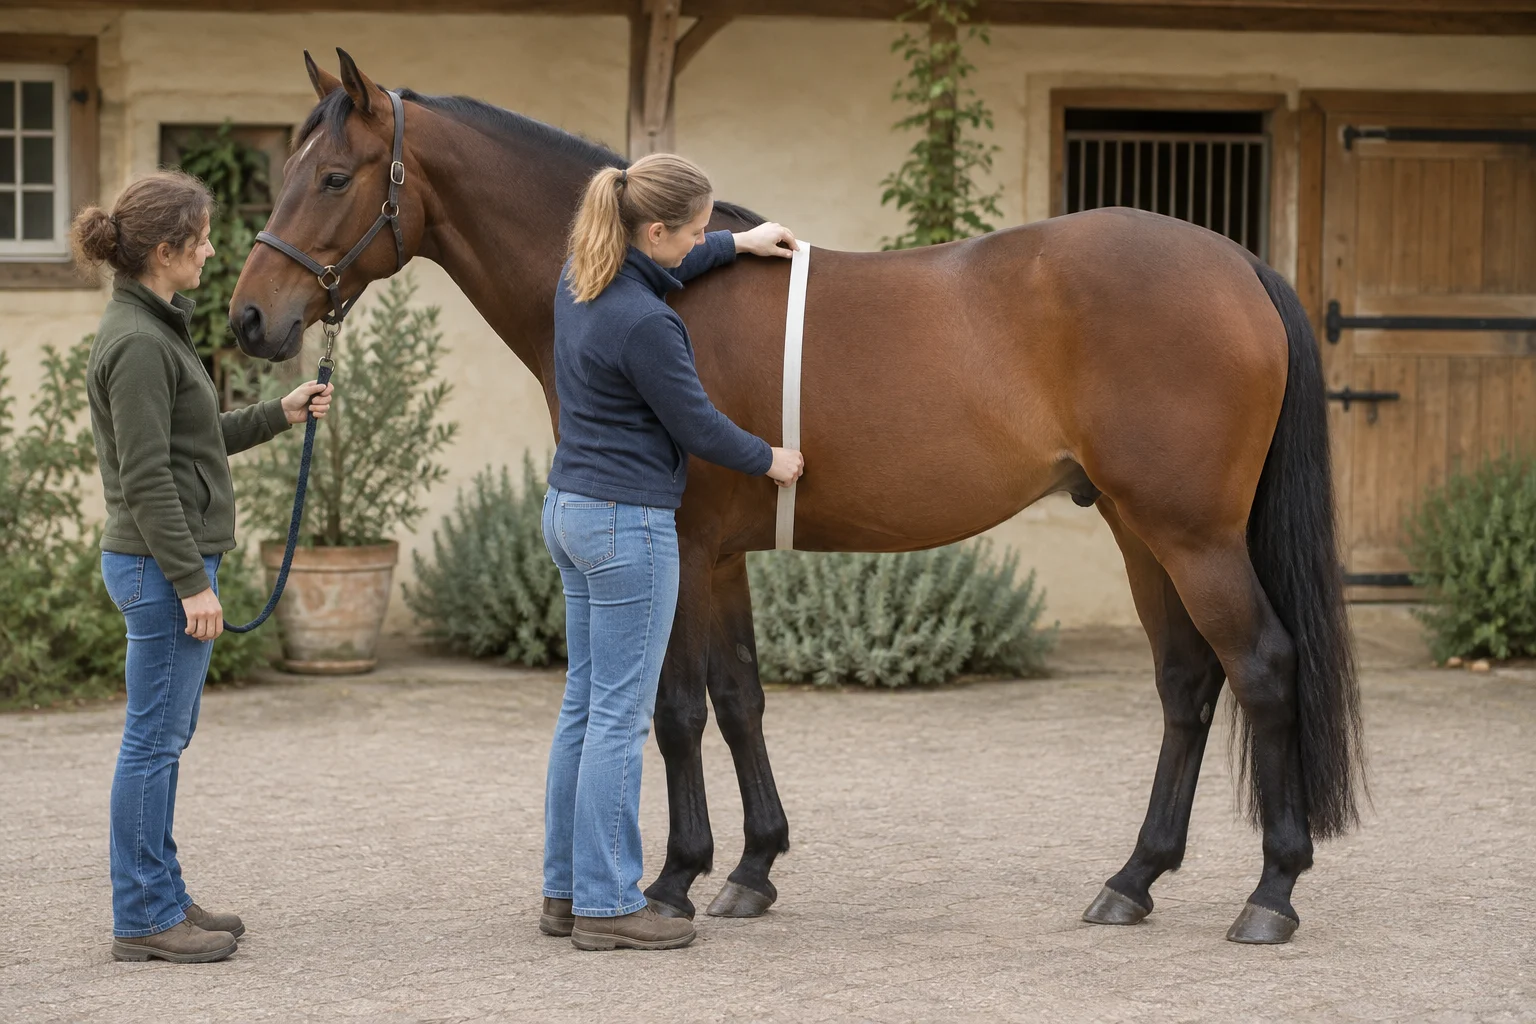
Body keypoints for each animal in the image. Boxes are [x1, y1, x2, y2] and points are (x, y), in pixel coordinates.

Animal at [229, 49, 1364, 945]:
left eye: (333, 175)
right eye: (283, 172)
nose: (248, 319)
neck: (655, 288)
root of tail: (1239, 265)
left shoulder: (681, 548)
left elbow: (677, 711)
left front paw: (675, 878)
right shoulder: (722, 557)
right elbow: (739, 699)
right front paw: (752, 868)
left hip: (1193, 534)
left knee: (1262, 669)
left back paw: (1271, 893)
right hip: (1140, 530)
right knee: (1187, 684)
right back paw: (1133, 880)